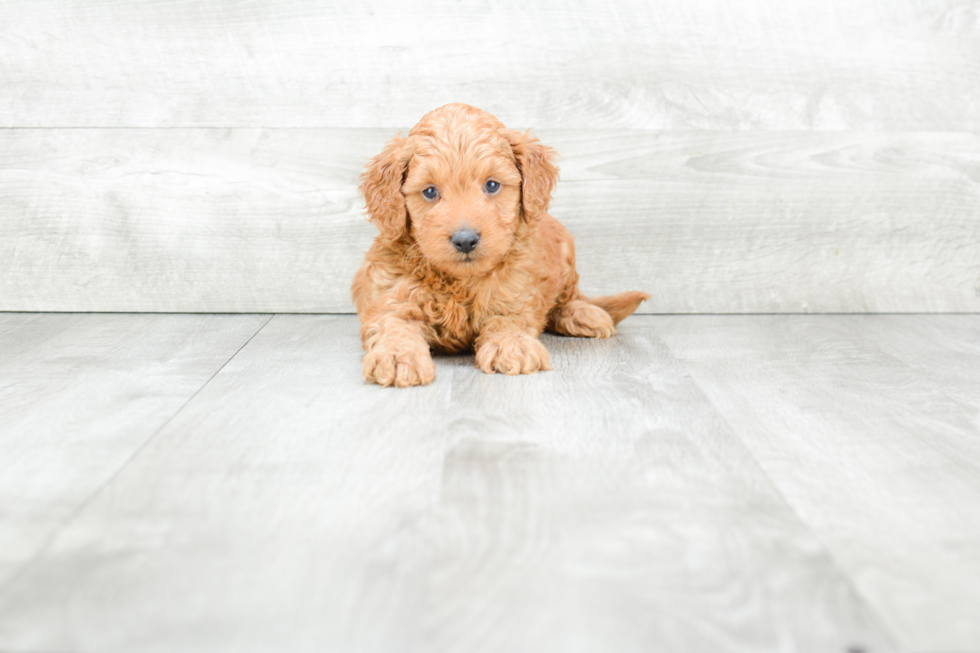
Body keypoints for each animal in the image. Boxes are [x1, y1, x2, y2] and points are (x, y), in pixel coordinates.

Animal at [352, 104, 652, 384]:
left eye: (492, 185)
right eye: (430, 191)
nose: (465, 240)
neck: (461, 282)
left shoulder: (516, 293)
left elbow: (508, 319)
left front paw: (512, 345)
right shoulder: (392, 295)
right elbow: (393, 324)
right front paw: (397, 355)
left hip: (566, 252)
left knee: (568, 296)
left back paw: (581, 314)